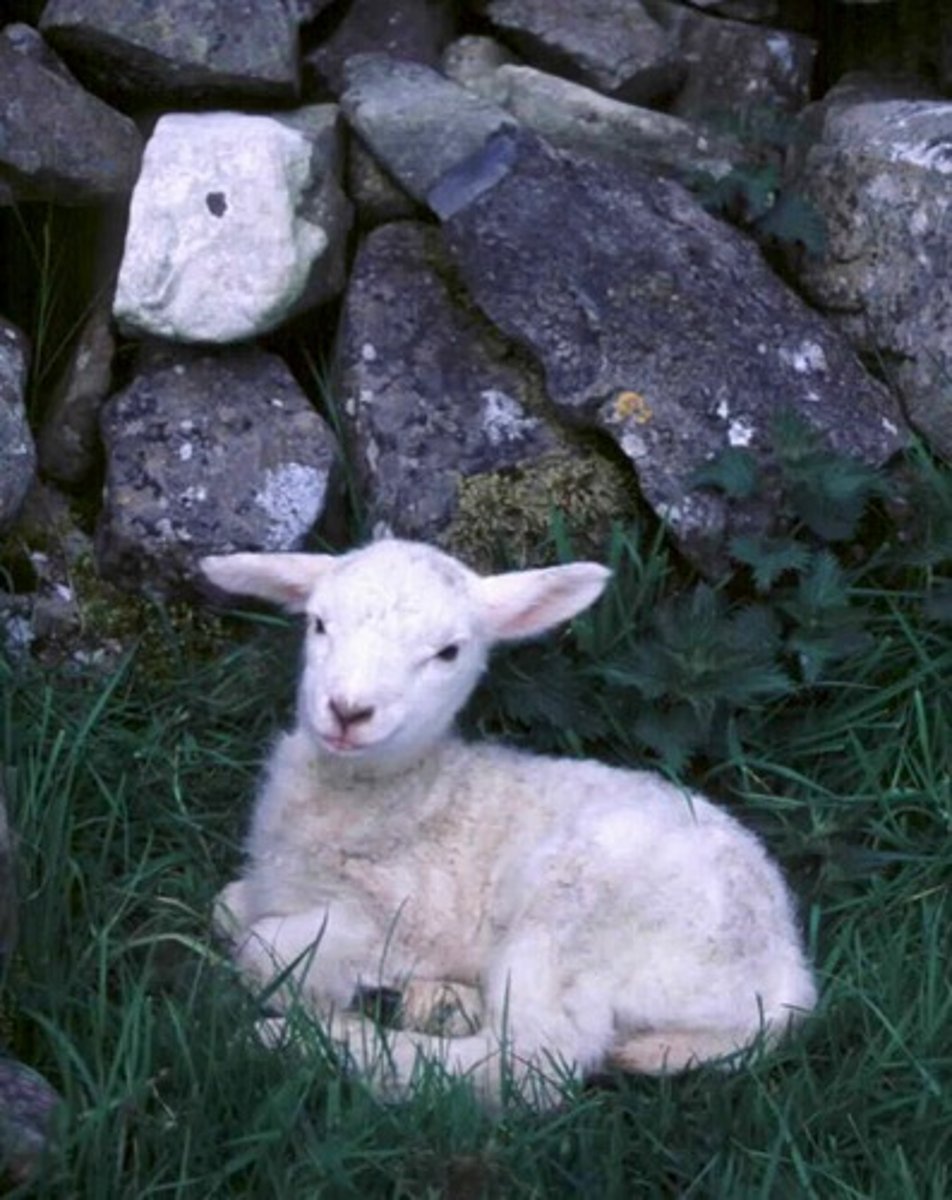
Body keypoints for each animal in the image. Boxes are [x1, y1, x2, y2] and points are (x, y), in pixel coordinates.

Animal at [201, 537, 816, 1107]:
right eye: (319, 623)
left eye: (448, 652)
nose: (348, 711)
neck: (413, 791)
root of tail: (785, 975)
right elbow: (227, 908)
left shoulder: (404, 919)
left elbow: (263, 949)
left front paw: (312, 1000)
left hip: (573, 922)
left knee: (535, 1059)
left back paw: (312, 1044)